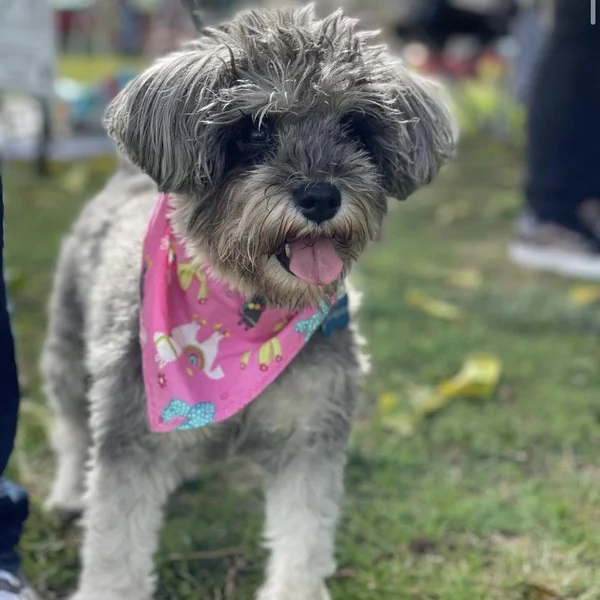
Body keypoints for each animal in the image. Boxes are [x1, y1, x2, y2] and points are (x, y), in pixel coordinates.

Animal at [42, 5, 454, 600]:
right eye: (255, 129)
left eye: (355, 126)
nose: (321, 196)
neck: (246, 311)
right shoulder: (130, 440)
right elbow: (115, 552)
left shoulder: (311, 439)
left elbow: (303, 539)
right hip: (70, 349)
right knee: (73, 429)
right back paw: (68, 493)